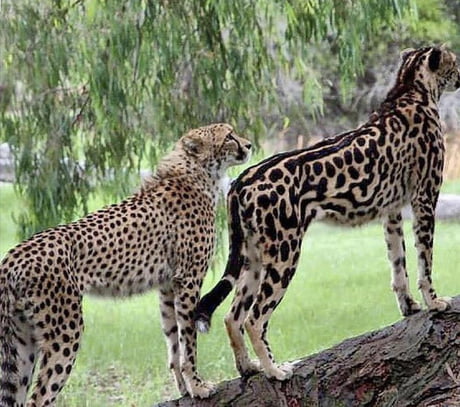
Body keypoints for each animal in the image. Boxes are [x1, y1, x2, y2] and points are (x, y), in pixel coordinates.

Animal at [0, 122, 252, 406]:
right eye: (229, 136)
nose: (249, 145)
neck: (197, 173)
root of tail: (13, 255)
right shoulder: (188, 280)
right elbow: (189, 340)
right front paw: (198, 386)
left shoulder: (168, 286)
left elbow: (173, 341)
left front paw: (184, 388)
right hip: (65, 332)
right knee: (39, 398)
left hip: (22, 342)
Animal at [195, 47, 460, 382]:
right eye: (454, 62)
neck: (410, 87)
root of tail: (243, 178)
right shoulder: (425, 198)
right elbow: (425, 260)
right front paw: (434, 302)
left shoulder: (391, 212)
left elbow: (398, 265)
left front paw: (409, 307)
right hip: (284, 253)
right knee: (254, 318)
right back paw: (274, 370)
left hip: (254, 256)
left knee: (232, 316)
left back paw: (247, 367)